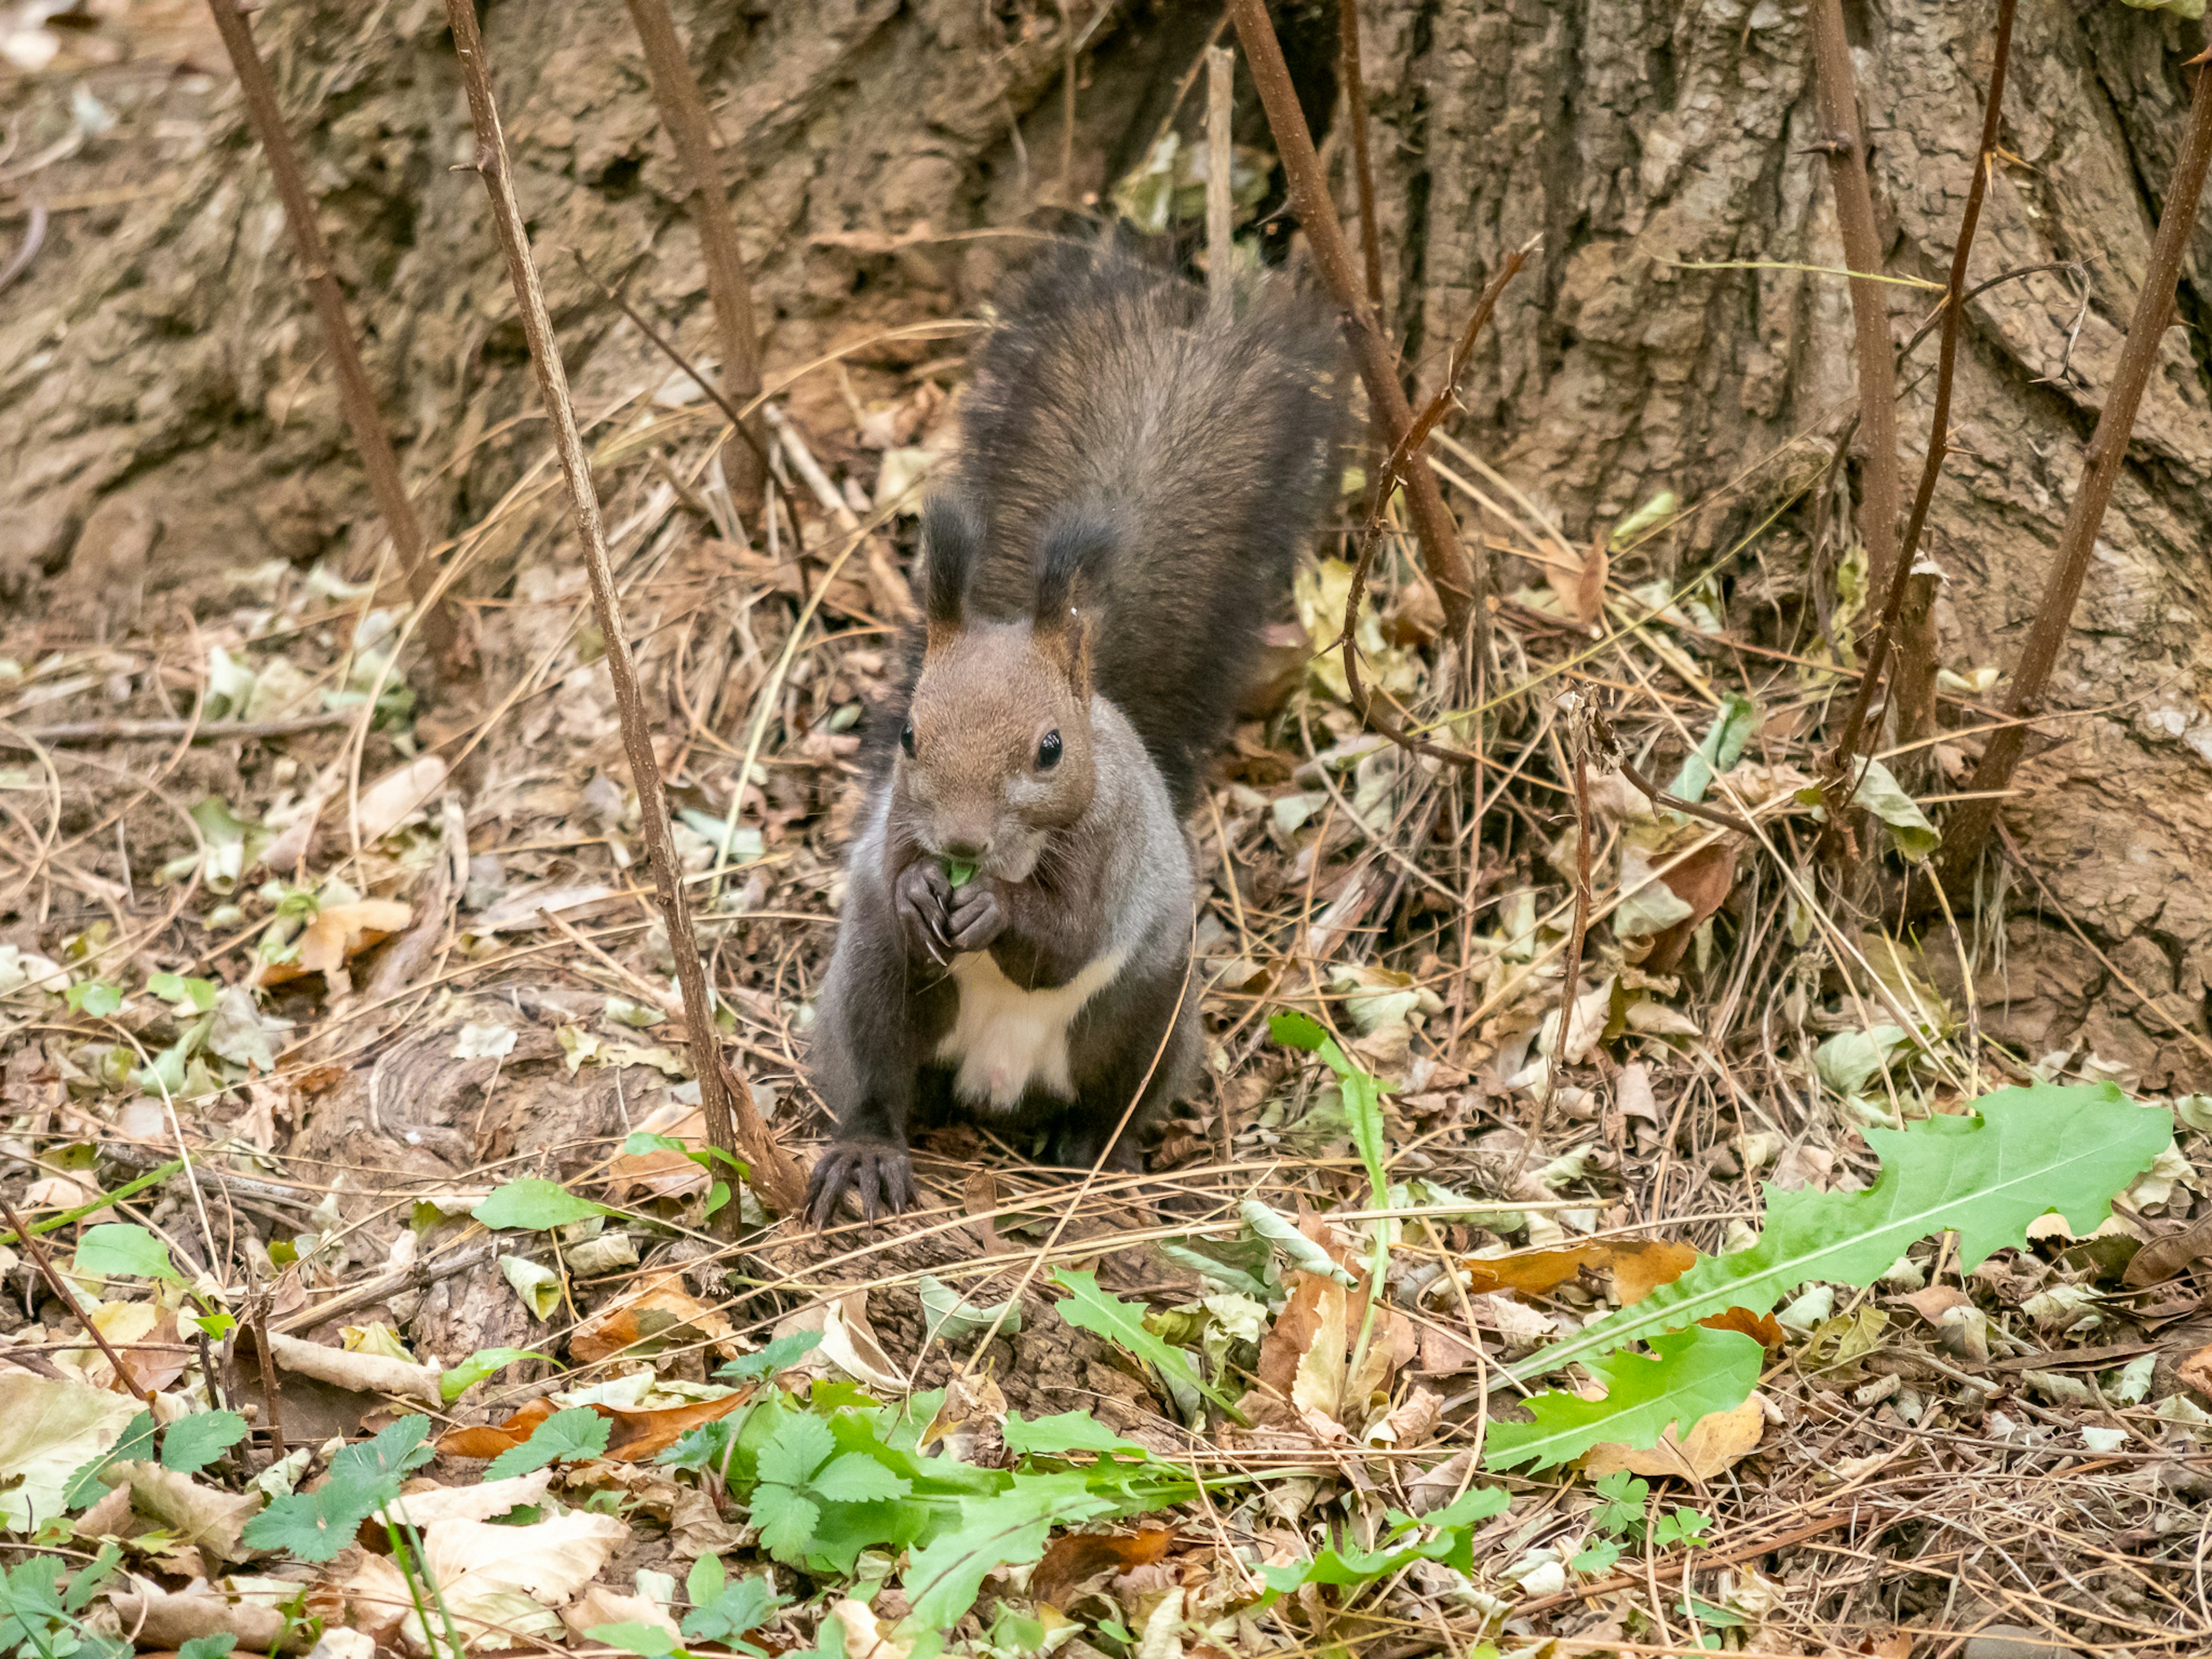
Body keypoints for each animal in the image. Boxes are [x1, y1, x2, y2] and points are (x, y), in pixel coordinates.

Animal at [801, 234, 1336, 1230]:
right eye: (910, 738)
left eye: (1050, 749)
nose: (963, 845)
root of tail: (994, 1085)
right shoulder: (898, 823)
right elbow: (895, 873)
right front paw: (922, 890)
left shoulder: (1110, 846)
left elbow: (1067, 941)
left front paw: (993, 909)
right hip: (874, 984)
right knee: (878, 1079)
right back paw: (867, 1150)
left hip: (1145, 1017)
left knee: (1113, 1091)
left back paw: (1098, 1151)